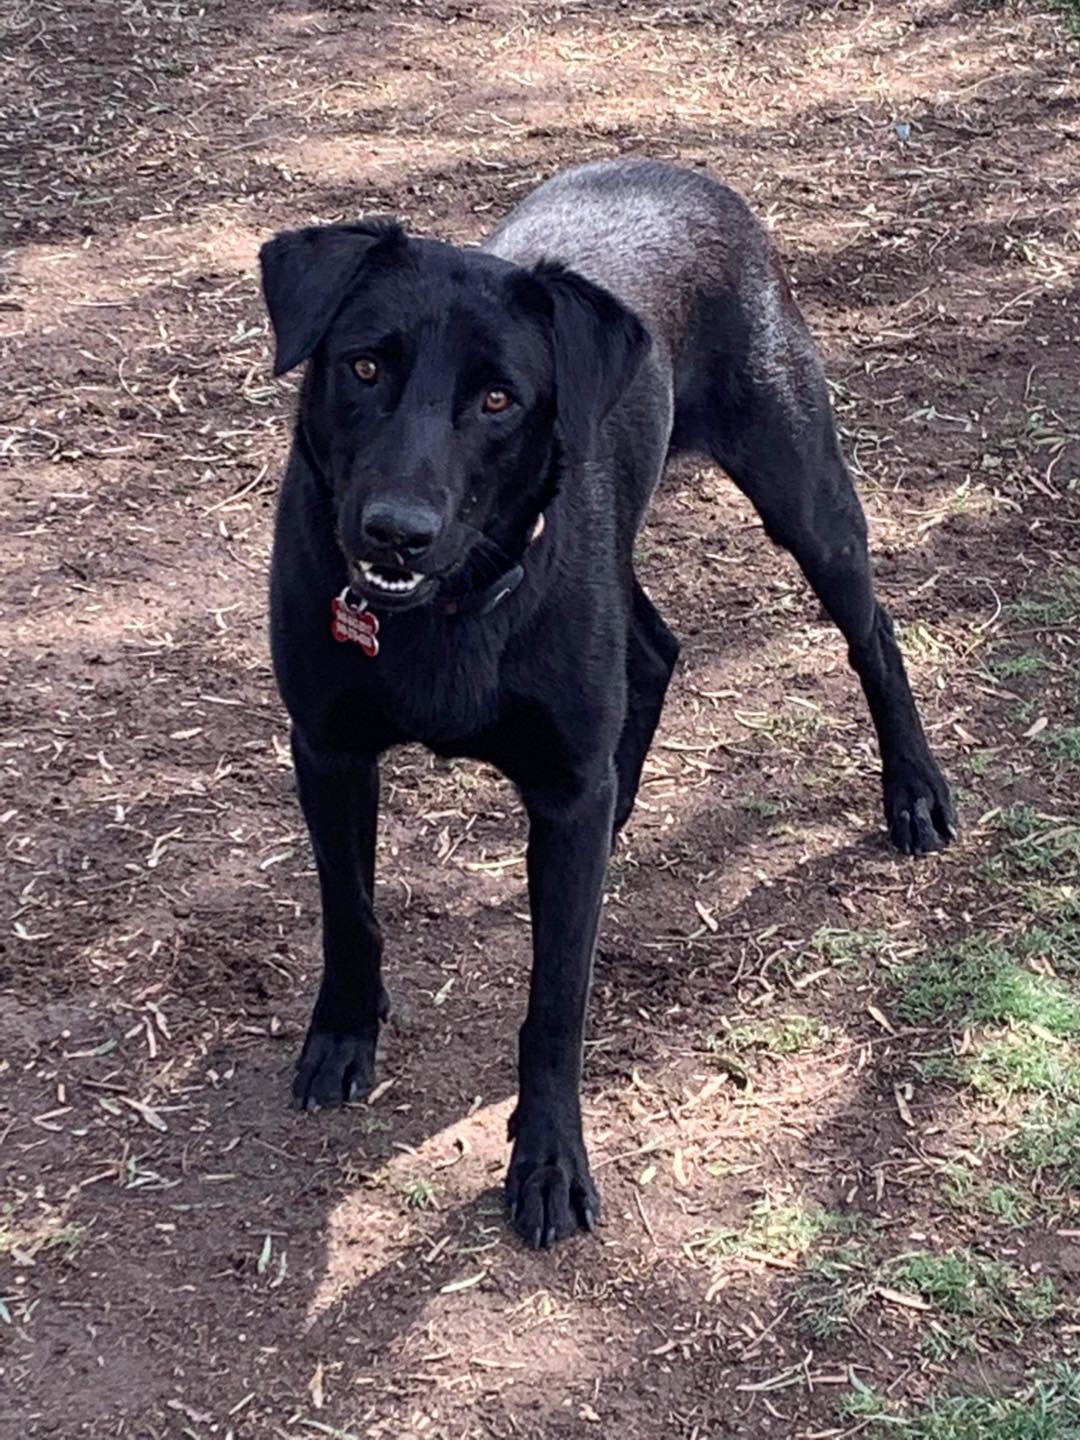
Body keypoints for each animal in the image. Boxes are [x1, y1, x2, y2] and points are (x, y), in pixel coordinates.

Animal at [260, 160, 956, 1249]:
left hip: (802, 491)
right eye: (365, 367)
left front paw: (548, 1162)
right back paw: (626, 801)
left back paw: (914, 791)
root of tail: (689, 172)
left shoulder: (554, 786)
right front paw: (342, 1034)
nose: (394, 531)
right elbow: (351, 912)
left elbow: (557, 997)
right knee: (657, 653)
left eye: (498, 398)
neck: (444, 608)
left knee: (872, 633)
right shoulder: (327, 752)